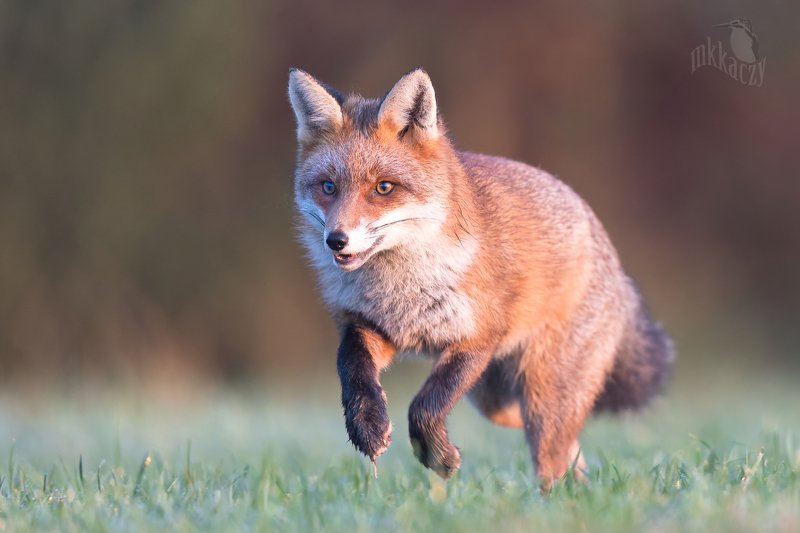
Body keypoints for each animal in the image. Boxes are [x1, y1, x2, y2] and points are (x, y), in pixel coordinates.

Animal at [288, 67, 674, 488]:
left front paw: (437, 456)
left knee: (553, 454)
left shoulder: (478, 337)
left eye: (383, 188)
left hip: (542, 393)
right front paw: (368, 425)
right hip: (496, 400)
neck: (399, 289)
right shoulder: (372, 327)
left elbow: (425, 406)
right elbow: (352, 368)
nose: (336, 240)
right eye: (328, 187)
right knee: (564, 445)